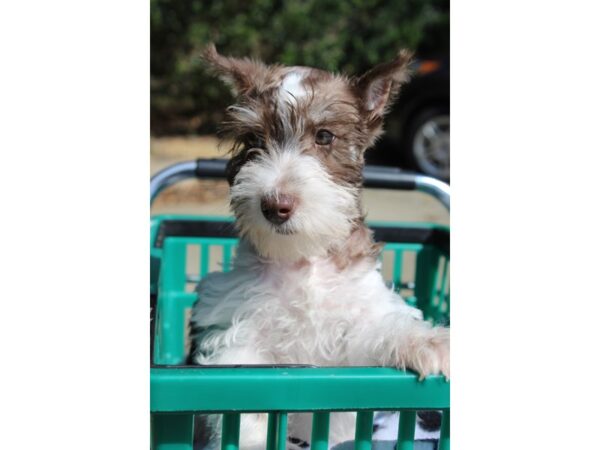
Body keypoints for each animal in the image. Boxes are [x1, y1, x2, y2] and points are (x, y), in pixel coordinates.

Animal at [190, 44, 448, 450]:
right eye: (255, 140)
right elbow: (243, 396)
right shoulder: (239, 332)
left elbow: (379, 328)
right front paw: (252, 440)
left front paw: (428, 341)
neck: (302, 259)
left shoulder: (353, 332)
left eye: (325, 136)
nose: (274, 206)